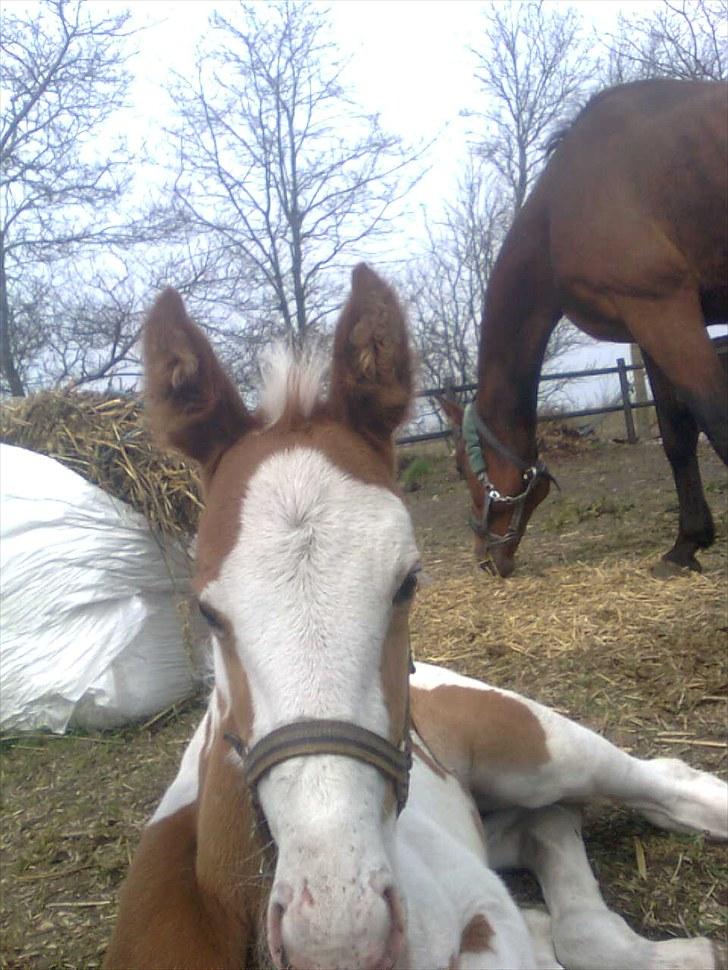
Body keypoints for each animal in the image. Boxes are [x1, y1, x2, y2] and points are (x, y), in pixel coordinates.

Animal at [106, 262, 728, 968]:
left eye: (407, 583)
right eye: (207, 611)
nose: (340, 935)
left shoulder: (482, 909)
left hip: (535, 748)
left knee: (663, 782)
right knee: (551, 827)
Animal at [450, 81, 728, 576]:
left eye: (463, 467)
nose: (485, 558)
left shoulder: (665, 311)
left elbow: (716, 419)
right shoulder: (648, 324)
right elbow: (676, 434)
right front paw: (686, 545)